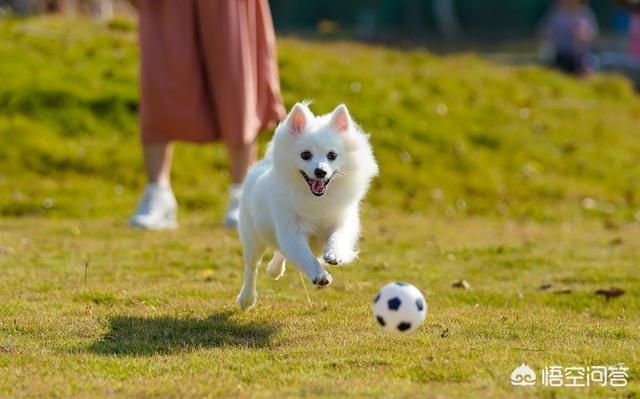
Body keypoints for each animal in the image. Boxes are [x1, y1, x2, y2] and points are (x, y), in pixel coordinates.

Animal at [236, 101, 378, 310]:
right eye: (305, 155)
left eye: (332, 155)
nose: (320, 172)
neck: (316, 199)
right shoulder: (291, 231)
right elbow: (304, 255)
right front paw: (320, 275)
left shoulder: (342, 221)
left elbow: (337, 236)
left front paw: (334, 253)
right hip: (253, 237)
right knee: (251, 267)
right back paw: (247, 299)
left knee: (280, 252)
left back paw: (274, 269)